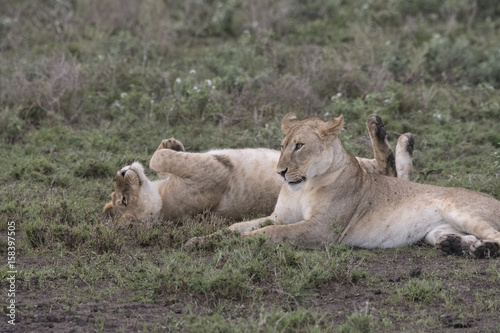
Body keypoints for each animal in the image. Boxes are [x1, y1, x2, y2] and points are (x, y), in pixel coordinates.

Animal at [102, 115, 414, 222]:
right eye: (124, 201)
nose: (121, 173)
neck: (161, 198)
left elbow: (161, 157)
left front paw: (171, 143)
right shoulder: (215, 173)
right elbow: (158, 159)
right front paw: (165, 151)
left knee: (388, 167)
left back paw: (391, 134)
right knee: (389, 171)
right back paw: (395, 138)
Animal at [190, 113, 500, 256]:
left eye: (299, 146)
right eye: (281, 146)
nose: (280, 172)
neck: (304, 186)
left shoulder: (322, 229)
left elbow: (272, 233)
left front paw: (237, 242)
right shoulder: (278, 215)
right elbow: (237, 226)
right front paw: (202, 240)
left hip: (460, 210)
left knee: (495, 235)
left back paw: (484, 250)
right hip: (435, 232)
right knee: (457, 237)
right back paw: (460, 246)